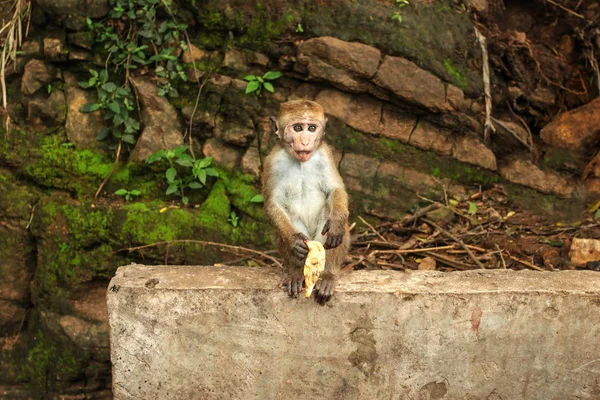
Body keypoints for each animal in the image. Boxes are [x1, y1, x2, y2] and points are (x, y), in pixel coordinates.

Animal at [260, 99, 350, 304]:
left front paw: (335, 224)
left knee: (329, 214)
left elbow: (335, 190)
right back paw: (296, 273)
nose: (305, 141)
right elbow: (273, 204)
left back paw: (328, 276)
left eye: (312, 128)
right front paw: (293, 240)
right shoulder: (272, 162)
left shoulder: (325, 154)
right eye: (298, 128)